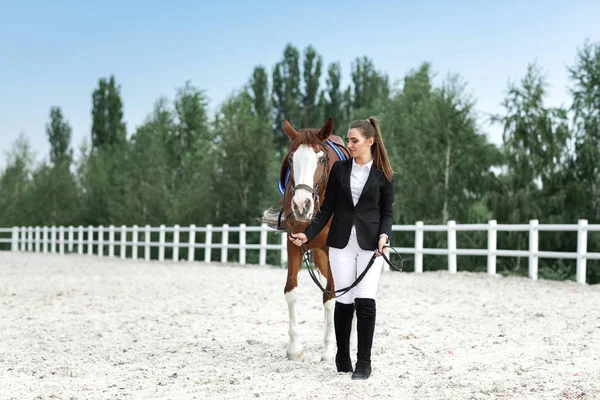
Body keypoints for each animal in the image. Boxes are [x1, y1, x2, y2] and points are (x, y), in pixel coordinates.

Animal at [262, 116, 352, 362]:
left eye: (321, 158)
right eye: (291, 159)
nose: (301, 205)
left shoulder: (334, 251)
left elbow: (330, 296)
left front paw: (329, 350)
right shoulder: (293, 245)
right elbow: (291, 291)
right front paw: (294, 348)